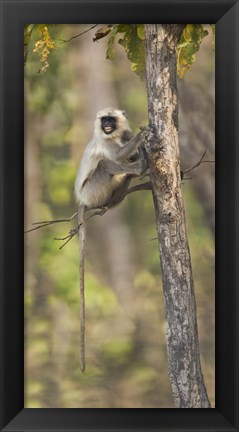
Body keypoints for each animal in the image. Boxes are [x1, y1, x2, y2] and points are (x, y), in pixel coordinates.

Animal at [75, 108, 148, 372]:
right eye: (103, 120)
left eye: (111, 120)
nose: (106, 125)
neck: (112, 135)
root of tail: (83, 200)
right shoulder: (105, 143)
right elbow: (115, 154)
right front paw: (143, 136)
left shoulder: (121, 133)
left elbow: (125, 147)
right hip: (93, 189)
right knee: (107, 163)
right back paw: (141, 167)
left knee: (121, 172)